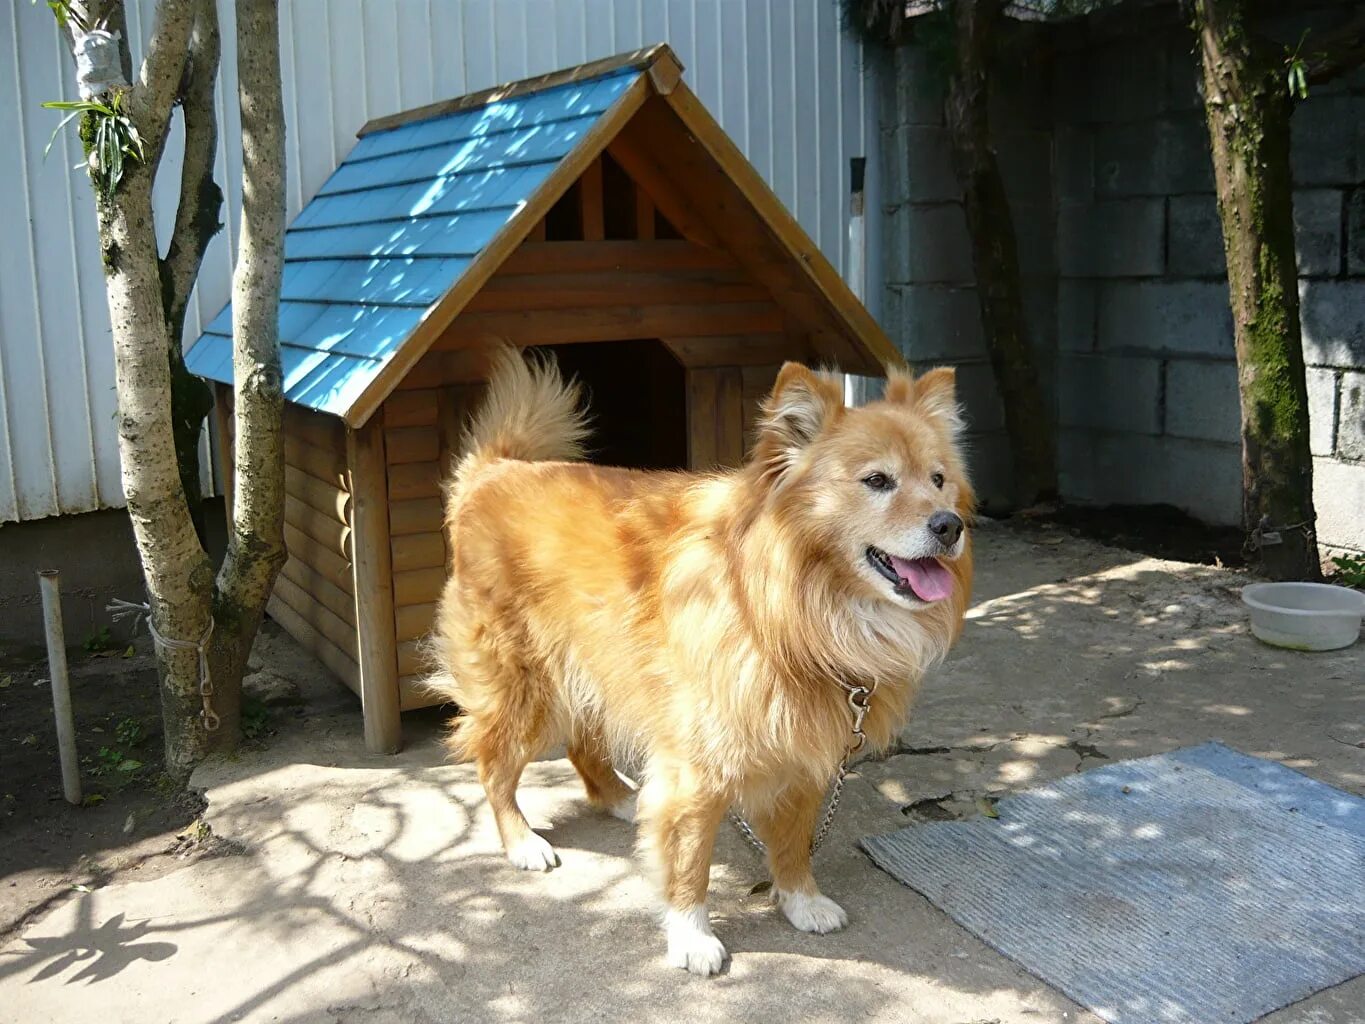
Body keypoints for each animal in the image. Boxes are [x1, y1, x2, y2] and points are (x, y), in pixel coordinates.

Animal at [431, 352, 977, 977]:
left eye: (939, 479)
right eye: (877, 481)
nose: (949, 525)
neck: (785, 610)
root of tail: (495, 471)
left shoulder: (806, 753)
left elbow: (794, 842)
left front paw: (801, 899)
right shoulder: (698, 768)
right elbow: (690, 859)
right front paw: (691, 937)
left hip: (594, 671)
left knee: (583, 746)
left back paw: (621, 799)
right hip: (525, 689)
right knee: (495, 766)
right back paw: (522, 841)